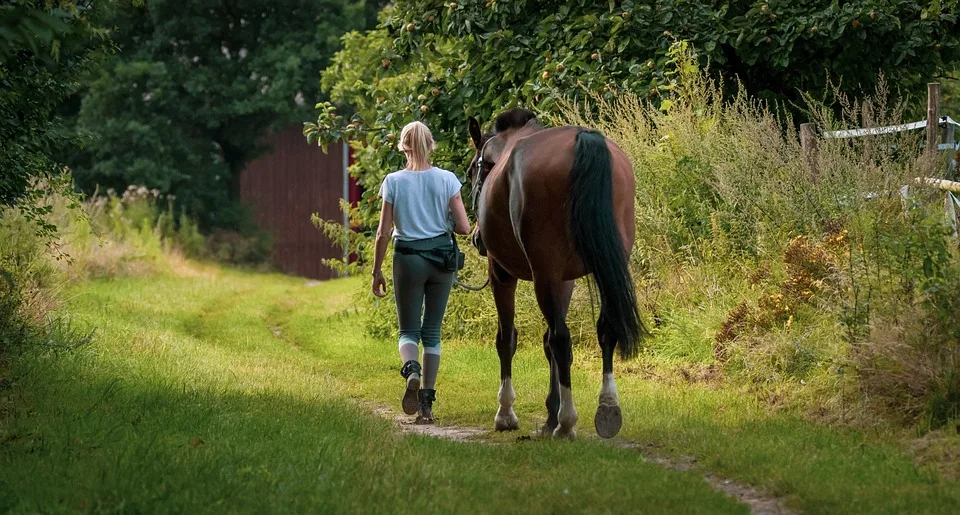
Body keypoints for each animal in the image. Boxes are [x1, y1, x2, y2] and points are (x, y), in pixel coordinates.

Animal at [466, 109, 644, 440]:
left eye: (474, 169)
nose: (476, 238)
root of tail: (583, 140)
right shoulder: (565, 280)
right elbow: (548, 342)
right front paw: (549, 414)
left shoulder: (502, 273)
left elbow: (508, 339)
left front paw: (507, 413)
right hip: (607, 265)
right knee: (603, 330)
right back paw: (607, 409)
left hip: (542, 275)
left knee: (562, 339)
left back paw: (567, 423)